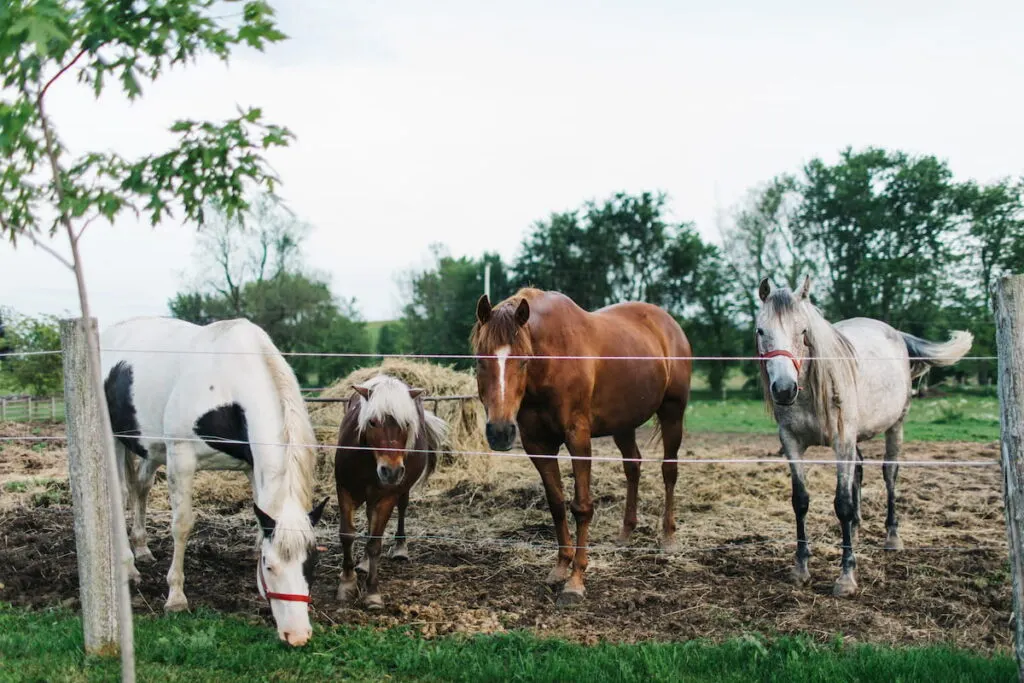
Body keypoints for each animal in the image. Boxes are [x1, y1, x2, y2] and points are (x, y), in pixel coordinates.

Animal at [98, 315, 325, 647]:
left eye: (311, 563)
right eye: (269, 565)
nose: (297, 636)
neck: (229, 386)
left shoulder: (252, 466)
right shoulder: (181, 458)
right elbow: (182, 525)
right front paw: (176, 598)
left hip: (150, 449)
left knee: (141, 487)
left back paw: (141, 549)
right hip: (115, 439)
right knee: (120, 494)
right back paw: (128, 567)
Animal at [335, 374, 448, 610]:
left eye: (407, 423)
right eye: (372, 421)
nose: (392, 471)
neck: (368, 459)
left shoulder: (387, 497)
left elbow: (375, 544)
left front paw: (372, 594)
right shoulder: (344, 489)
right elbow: (347, 535)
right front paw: (347, 583)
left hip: (399, 491)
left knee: (401, 508)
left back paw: (400, 549)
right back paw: (363, 564)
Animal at [471, 286, 696, 602]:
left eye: (524, 360)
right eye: (480, 360)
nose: (500, 431)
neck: (552, 360)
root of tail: (669, 324)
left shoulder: (577, 437)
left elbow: (582, 507)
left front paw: (576, 581)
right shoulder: (537, 444)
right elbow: (556, 504)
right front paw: (559, 568)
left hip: (672, 413)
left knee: (669, 471)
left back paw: (668, 537)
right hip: (623, 424)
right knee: (633, 467)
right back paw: (625, 534)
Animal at [757, 278, 970, 598]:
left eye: (803, 331)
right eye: (761, 331)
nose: (784, 389)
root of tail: (896, 334)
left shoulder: (842, 441)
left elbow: (842, 503)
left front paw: (846, 577)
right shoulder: (791, 442)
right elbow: (801, 501)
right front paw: (801, 568)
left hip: (895, 426)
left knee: (889, 473)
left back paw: (892, 536)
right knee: (858, 469)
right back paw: (856, 529)